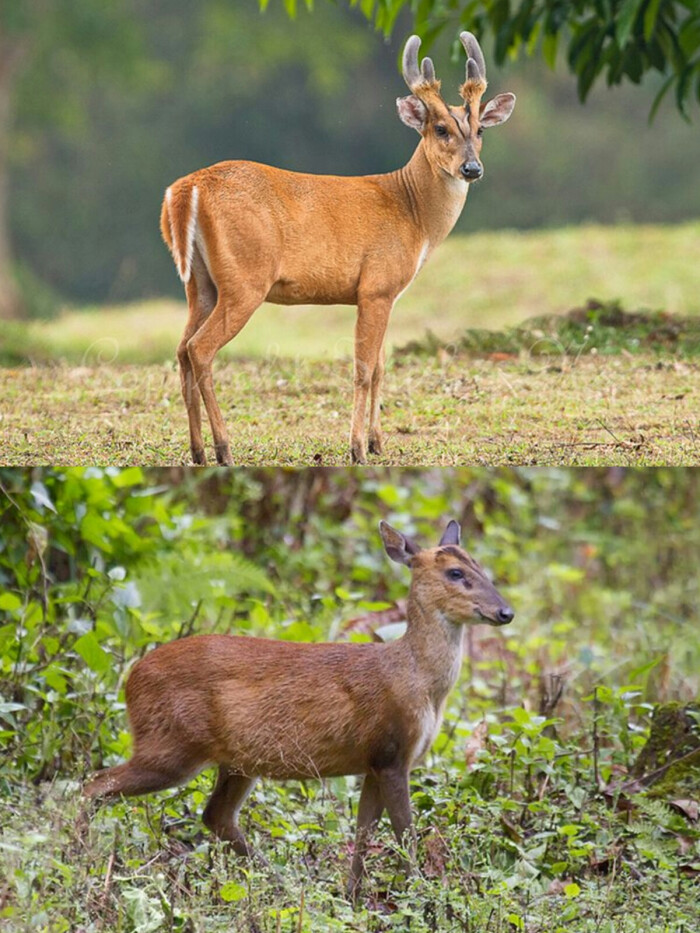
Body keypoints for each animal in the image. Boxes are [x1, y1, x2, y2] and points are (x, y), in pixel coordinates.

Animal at [163, 34, 516, 464]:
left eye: (480, 129)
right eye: (440, 128)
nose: (472, 169)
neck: (411, 209)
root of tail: (187, 189)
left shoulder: (387, 294)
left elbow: (380, 366)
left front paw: (378, 443)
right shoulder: (376, 286)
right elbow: (363, 368)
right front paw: (357, 449)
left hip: (200, 283)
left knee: (182, 350)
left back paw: (197, 452)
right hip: (244, 280)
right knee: (200, 349)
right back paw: (224, 449)